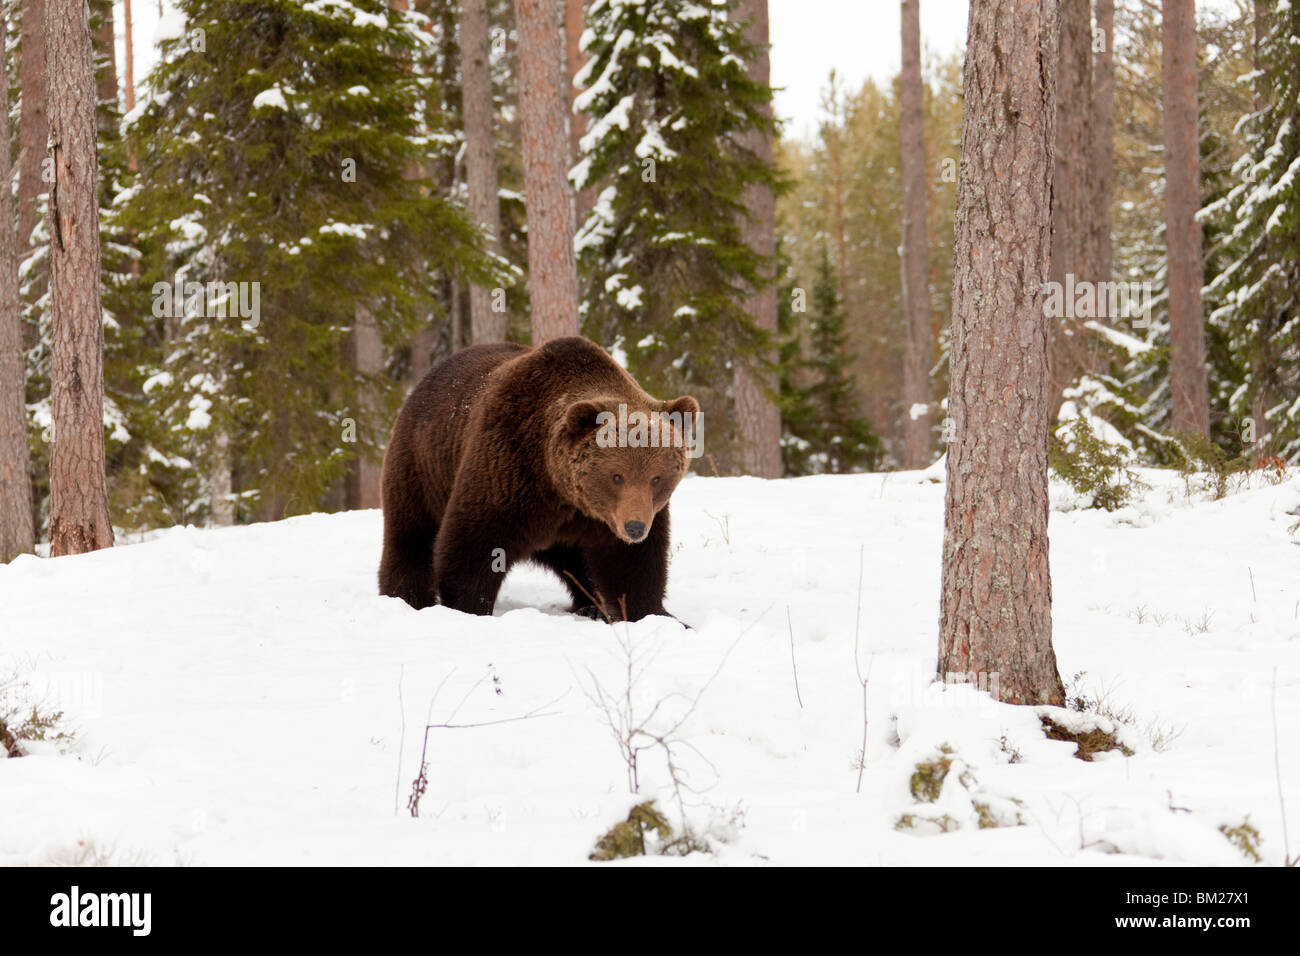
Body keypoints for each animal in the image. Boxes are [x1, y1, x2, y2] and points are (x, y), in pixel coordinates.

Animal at [377, 335, 702, 621]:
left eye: (656, 478)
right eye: (617, 476)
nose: (634, 527)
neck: (561, 489)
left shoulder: (610, 518)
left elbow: (633, 566)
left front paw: (660, 617)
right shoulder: (508, 469)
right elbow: (473, 546)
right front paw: (470, 609)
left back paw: (591, 606)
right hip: (422, 467)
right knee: (410, 539)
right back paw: (407, 599)